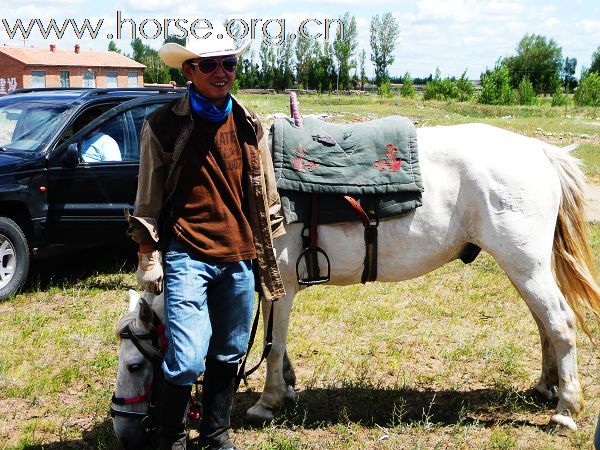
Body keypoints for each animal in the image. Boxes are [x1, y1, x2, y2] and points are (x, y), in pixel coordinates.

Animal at [245, 123, 600, 432]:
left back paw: (566, 410)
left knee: (560, 322)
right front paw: (286, 387)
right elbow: (275, 342)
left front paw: (268, 401)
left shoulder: (281, 285)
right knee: (543, 322)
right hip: (525, 269)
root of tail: (541, 152)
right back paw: (546, 387)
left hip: (525, 266)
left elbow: (273, 344)